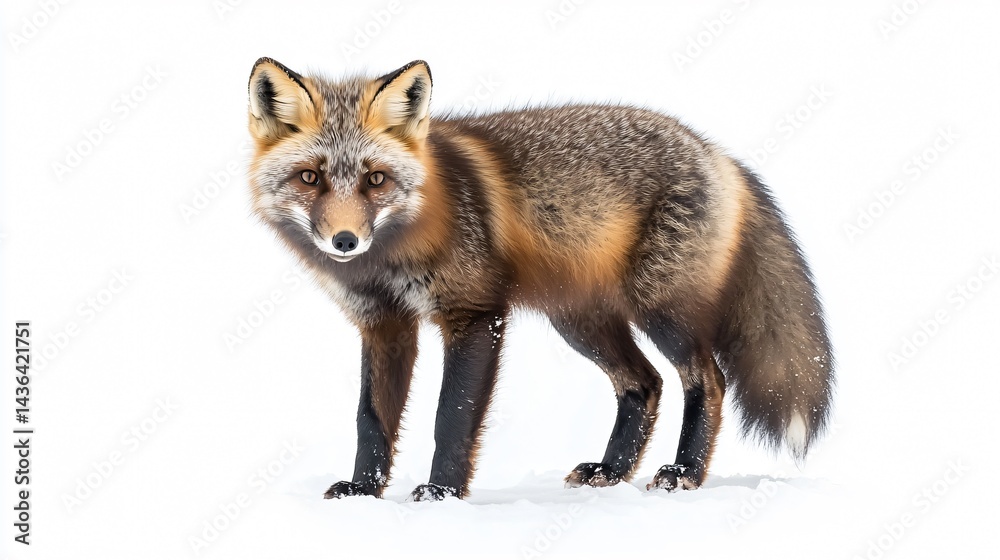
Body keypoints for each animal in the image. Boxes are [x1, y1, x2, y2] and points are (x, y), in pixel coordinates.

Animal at [246, 58, 834, 501]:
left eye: (375, 179)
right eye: (310, 178)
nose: (345, 241)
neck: (394, 254)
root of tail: (720, 153)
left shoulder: (475, 313)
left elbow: (451, 416)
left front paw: (442, 494)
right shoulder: (384, 325)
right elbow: (371, 419)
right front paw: (365, 491)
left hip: (660, 310)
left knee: (707, 381)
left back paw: (684, 473)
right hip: (580, 321)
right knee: (644, 384)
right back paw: (611, 472)